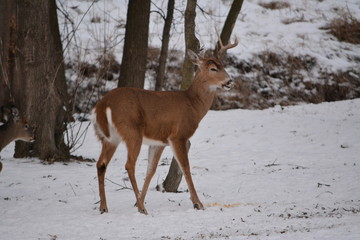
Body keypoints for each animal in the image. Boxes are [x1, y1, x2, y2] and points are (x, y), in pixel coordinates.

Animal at [91, 36, 238, 214]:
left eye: (222, 65)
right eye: (213, 68)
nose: (230, 81)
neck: (192, 104)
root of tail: (103, 105)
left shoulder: (159, 142)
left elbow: (151, 170)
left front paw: (138, 202)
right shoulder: (178, 135)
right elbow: (185, 167)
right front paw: (198, 203)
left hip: (110, 137)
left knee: (101, 164)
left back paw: (104, 207)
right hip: (132, 131)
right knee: (129, 165)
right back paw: (142, 209)